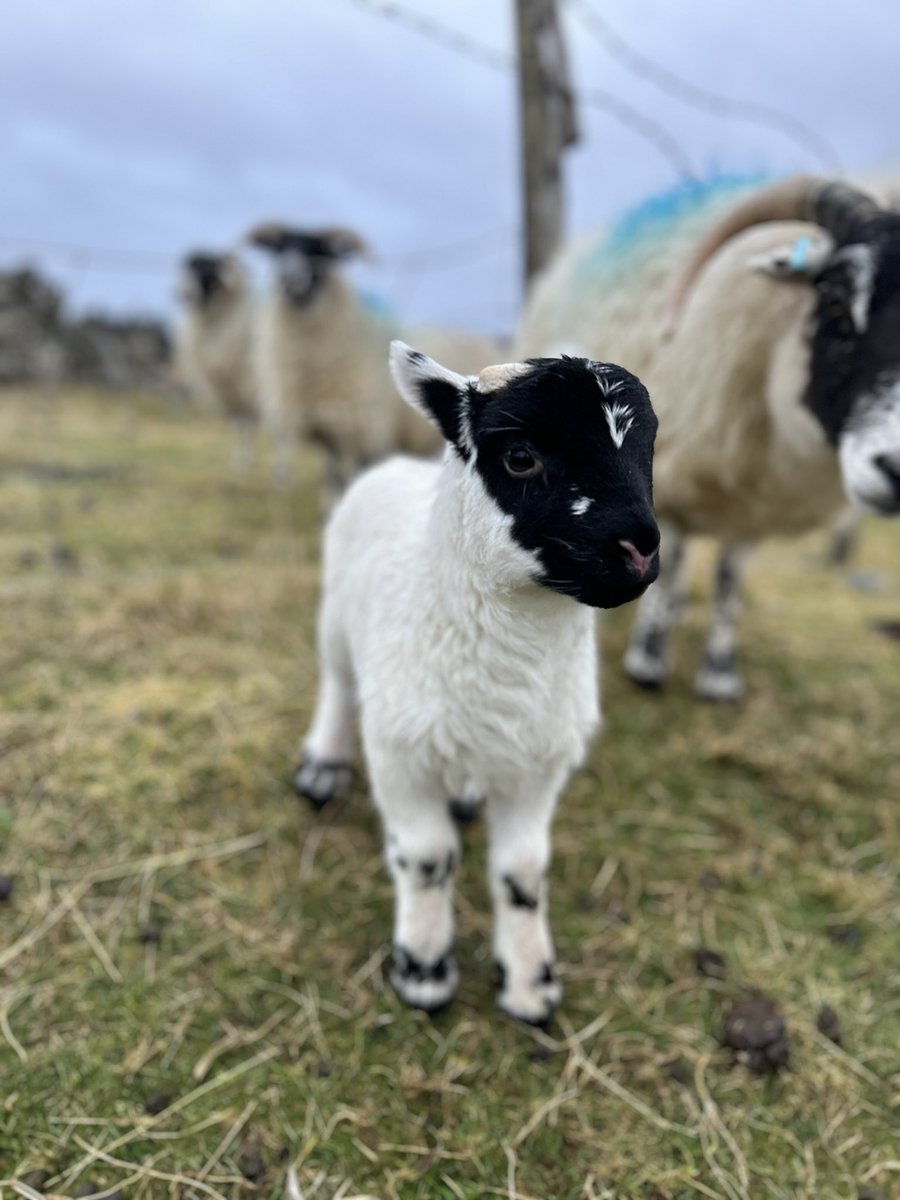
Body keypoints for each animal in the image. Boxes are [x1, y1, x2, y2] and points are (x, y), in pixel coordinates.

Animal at [174, 252, 256, 463]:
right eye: (189, 269)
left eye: (207, 272)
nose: (182, 293)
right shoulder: (232, 389)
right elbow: (238, 424)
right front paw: (240, 459)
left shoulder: (249, 384)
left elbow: (248, 423)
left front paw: (246, 460)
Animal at [247, 224, 508, 496]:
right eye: (278, 249)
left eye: (321, 252)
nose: (289, 277)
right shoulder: (330, 433)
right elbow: (332, 483)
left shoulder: (361, 432)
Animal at [297, 340, 662, 1022]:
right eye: (519, 456)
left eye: (649, 449)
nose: (640, 549)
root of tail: (394, 465)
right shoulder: (401, 755)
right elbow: (427, 857)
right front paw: (424, 971)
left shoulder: (539, 765)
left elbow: (522, 869)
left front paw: (531, 984)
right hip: (335, 614)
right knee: (336, 681)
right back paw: (323, 767)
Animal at [518, 174, 900, 700]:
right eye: (836, 304)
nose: (898, 470)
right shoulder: (669, 471)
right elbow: (676, 559)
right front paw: (648, 662)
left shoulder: (755, 504)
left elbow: (728, 579)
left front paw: (720, 674)